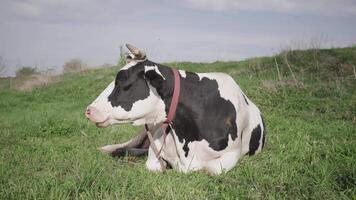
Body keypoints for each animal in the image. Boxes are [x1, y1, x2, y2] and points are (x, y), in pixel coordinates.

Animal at [85, 44, 266, 175]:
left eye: (123, 82)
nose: (88, 110)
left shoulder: (232, 154)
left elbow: (212, 169)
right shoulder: (156, 146)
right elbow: (152, 164)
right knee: (126, 145)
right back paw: (108, 149)